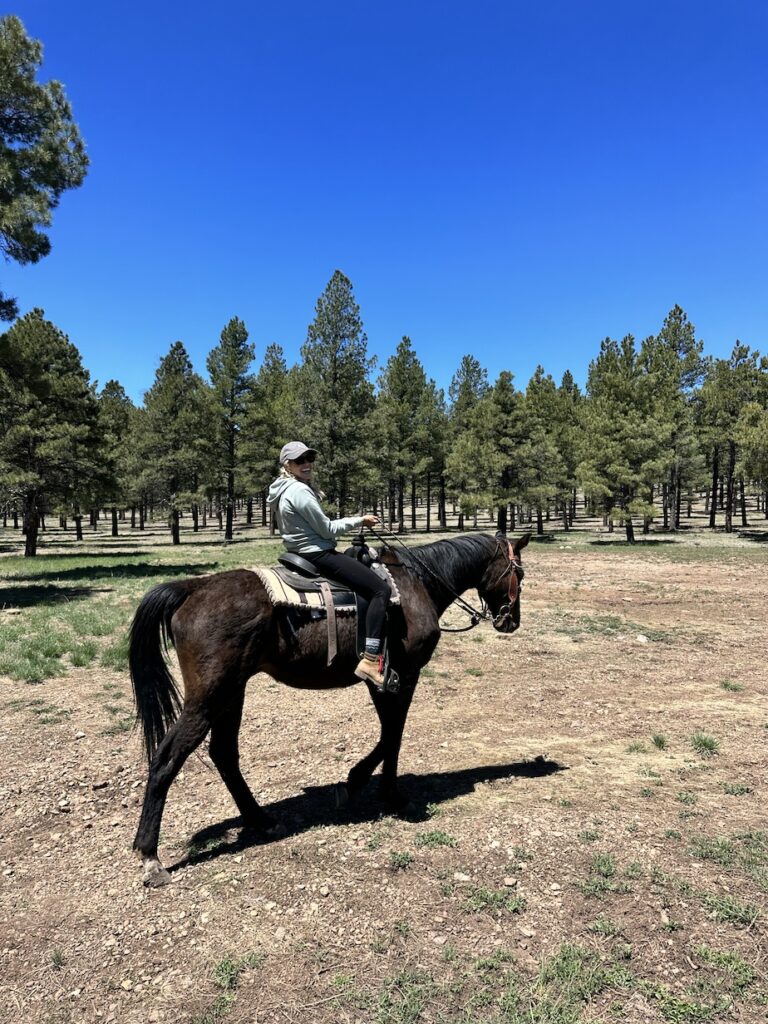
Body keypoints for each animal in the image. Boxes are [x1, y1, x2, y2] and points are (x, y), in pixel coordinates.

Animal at [131, 532, 528, 884]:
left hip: (231, 693)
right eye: (519, 574)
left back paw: (262, 821)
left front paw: (361, 784)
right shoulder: (404, 676)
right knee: (167, 759)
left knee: (224, 754)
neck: (417, 584)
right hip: (209, 698)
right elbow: (394, 734)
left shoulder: (381, 681)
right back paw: (151, 857)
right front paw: (384, 793)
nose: (511, 621)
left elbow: (388, 733)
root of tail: (192, 588)